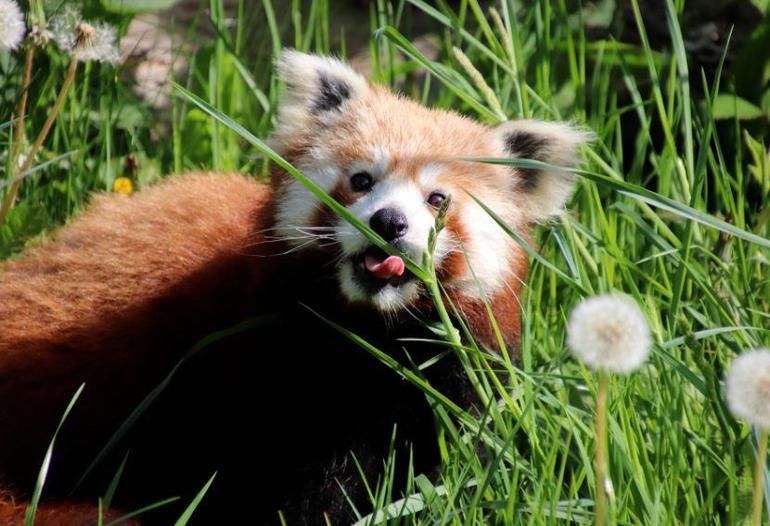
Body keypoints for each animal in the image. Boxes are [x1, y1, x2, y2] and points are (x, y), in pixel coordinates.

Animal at [0, 51, 584, 524]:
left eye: (437, 199)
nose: (389, 222)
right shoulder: (267, 370)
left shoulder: (453, 376)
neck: (371, 335)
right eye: (362, 180)